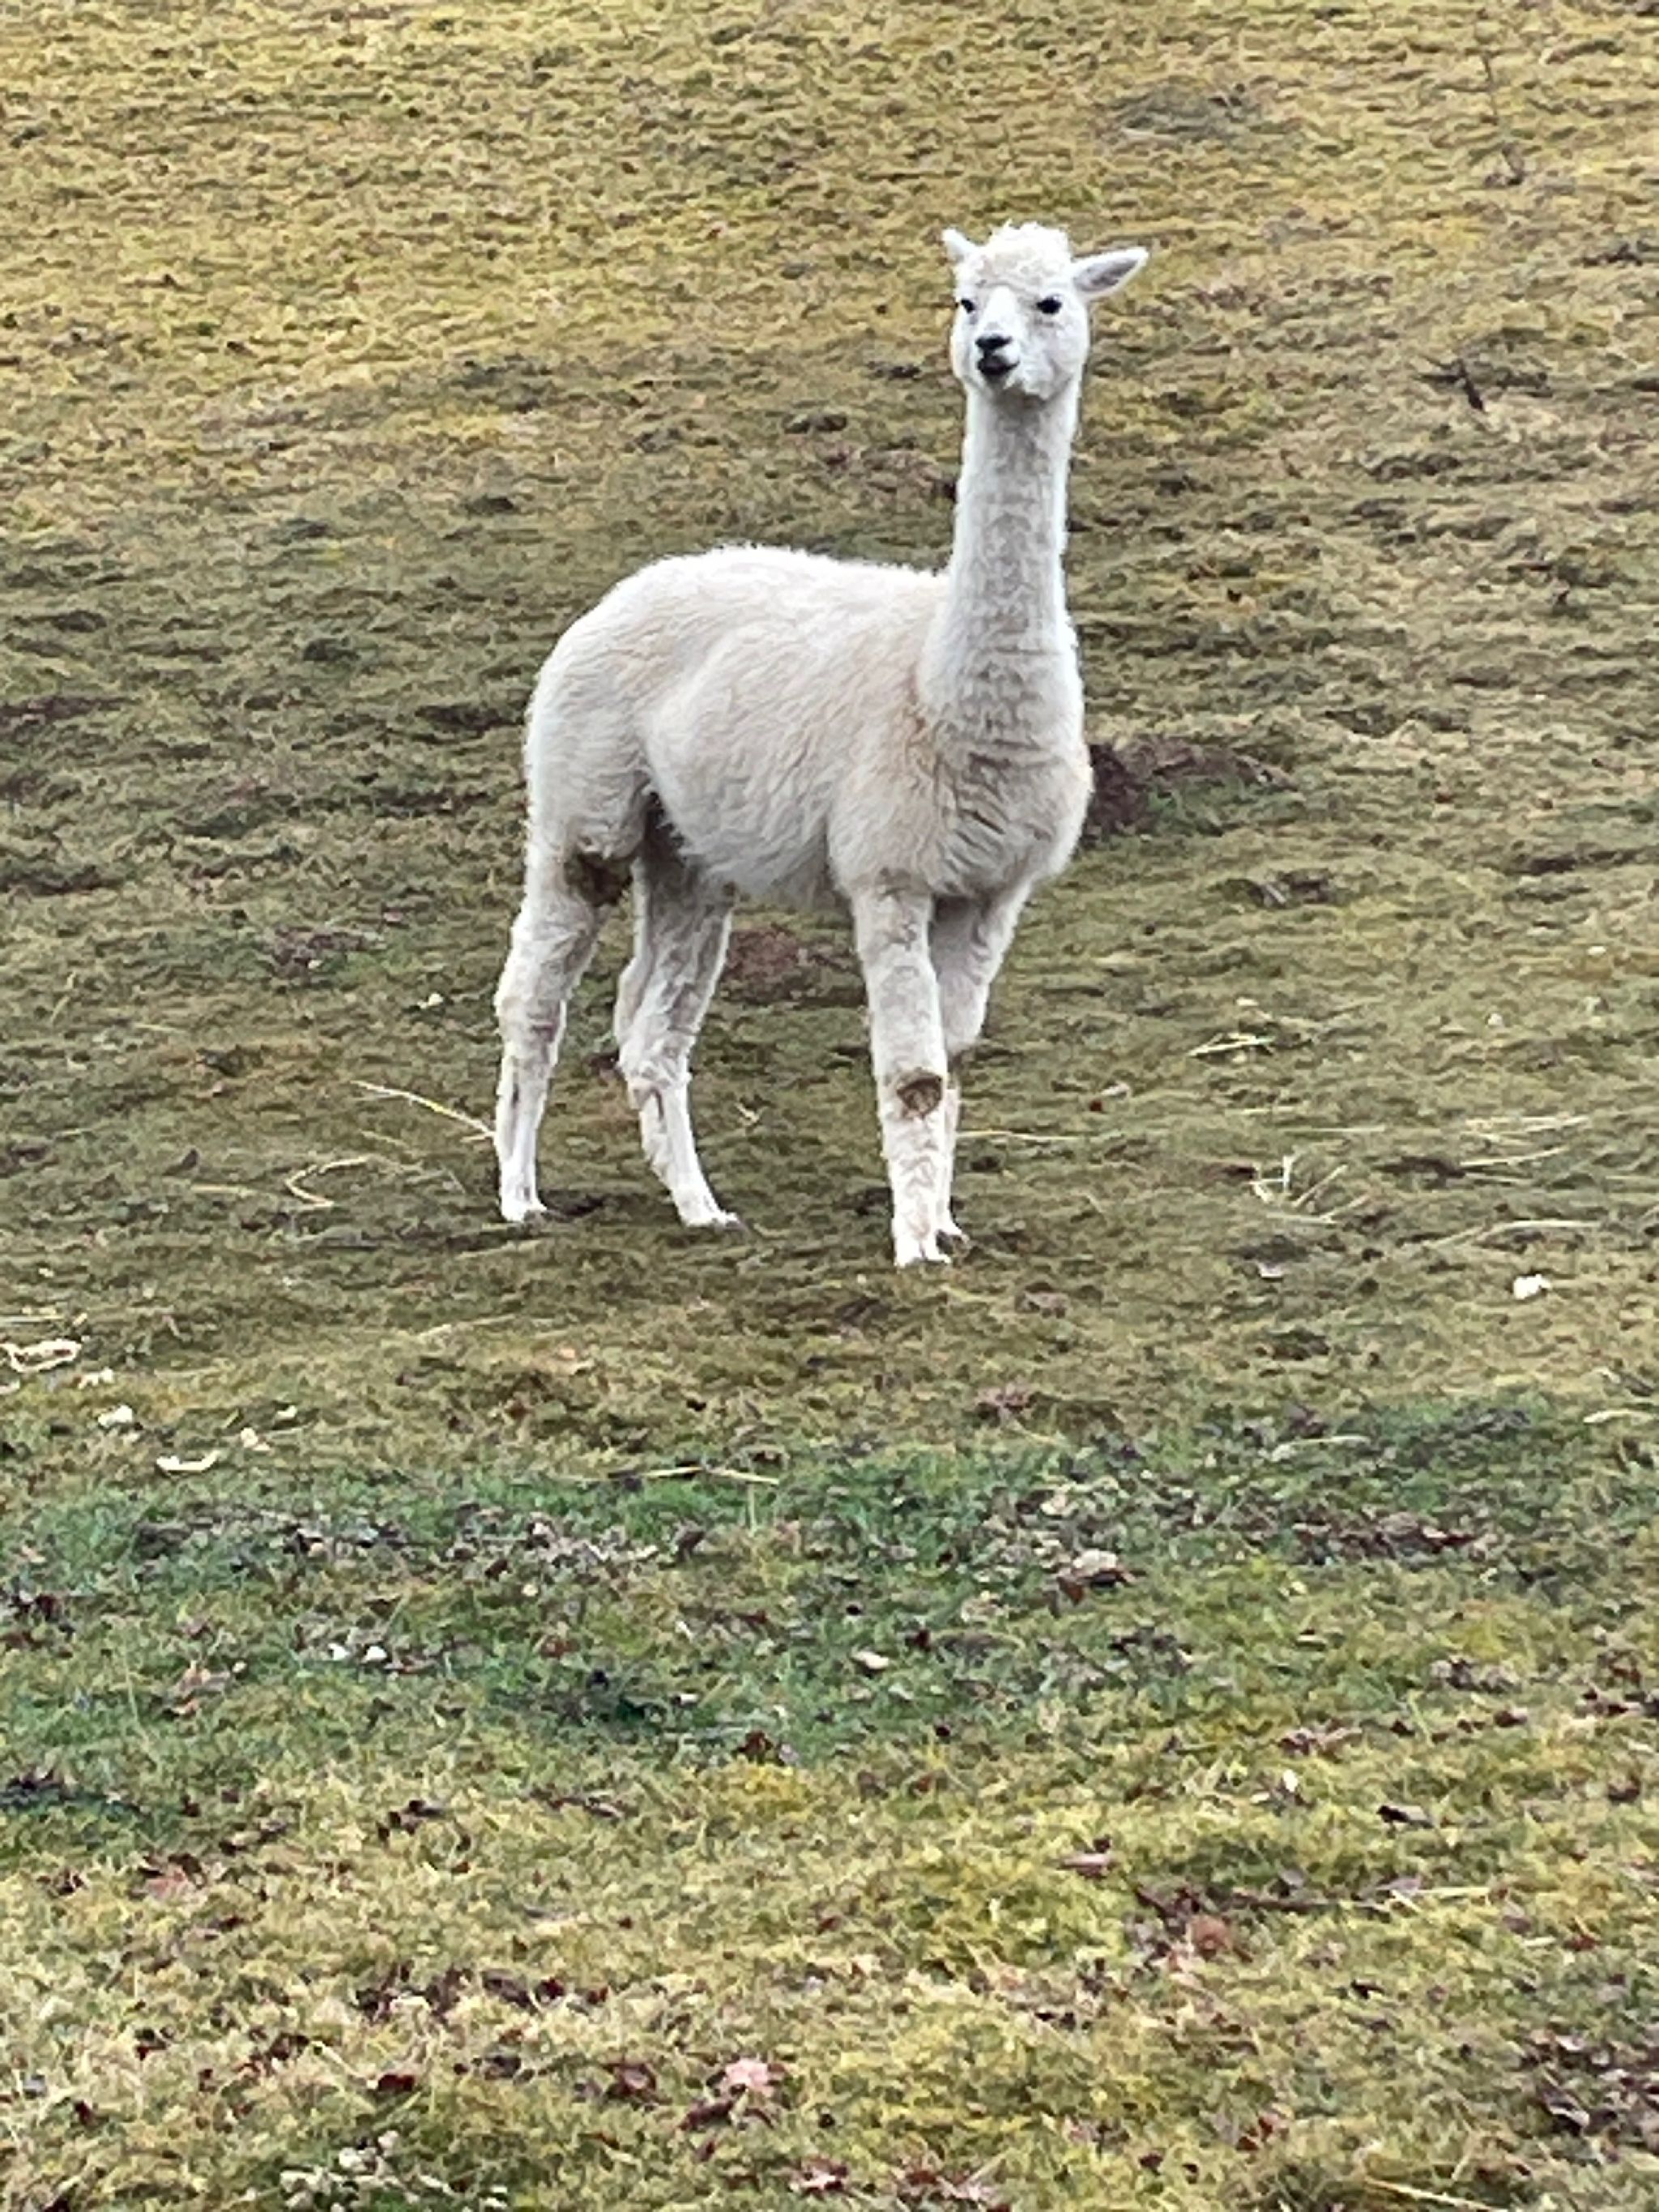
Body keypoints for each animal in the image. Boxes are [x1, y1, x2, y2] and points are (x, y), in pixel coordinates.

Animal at [493, 221, 1148, 1266]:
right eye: (966, 301)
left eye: (1050, 302)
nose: (990, 353)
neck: (946, 697)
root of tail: (626, 589)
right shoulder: (889, 874)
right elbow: (913, 1074)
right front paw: (914, 1249)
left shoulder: (989, 889)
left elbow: (950, 1064)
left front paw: (943, 1222)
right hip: (582, 801)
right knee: (536, 992)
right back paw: (519, 1193)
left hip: (688, 851)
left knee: (651, 1028)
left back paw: (698, 1204)